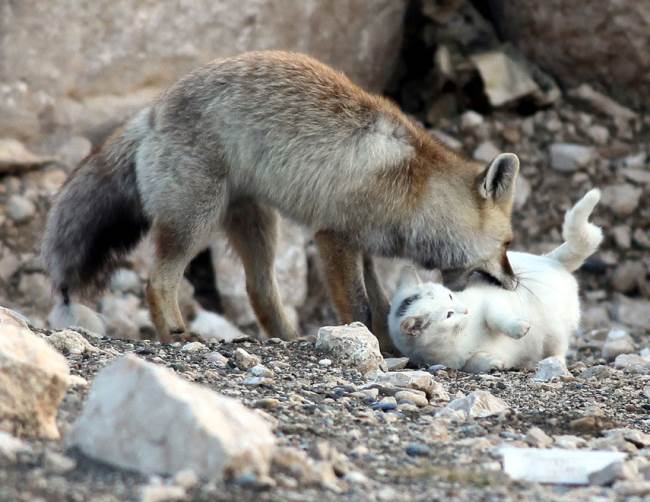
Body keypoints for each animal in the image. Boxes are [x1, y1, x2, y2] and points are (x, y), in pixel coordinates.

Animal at [41, 51, 516, 346]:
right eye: (508, 244)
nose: (515, 283)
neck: (415, 188)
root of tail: (152, 111)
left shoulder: (364, 246)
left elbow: (383, 305)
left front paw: (392, 347)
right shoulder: (334, 237)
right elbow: (361, 307)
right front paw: (373, 347)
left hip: (258, 225)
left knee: (259, 291)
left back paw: (287, 338)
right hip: (195, 220)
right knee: (158, 283)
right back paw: (176, 334)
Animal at [384, 189, 604, 372]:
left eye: (450, 296)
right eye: (448, 315)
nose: (465, 310)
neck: (458, 337)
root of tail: (549, 258)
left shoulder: (491, 303)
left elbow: (497, 318)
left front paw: (519, 329)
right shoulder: (458, 362)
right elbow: (474, 362)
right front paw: (493, 363)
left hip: (555, 331)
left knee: (559, 349)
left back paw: (553, 362)